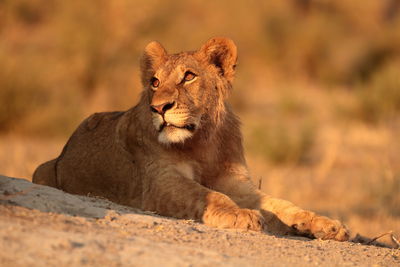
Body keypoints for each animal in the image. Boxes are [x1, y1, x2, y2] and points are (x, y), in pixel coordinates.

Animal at [32, 37, 348, 241]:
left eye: (188, 77)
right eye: (155, 82)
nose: (159, 108)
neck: (203, 141)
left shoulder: (236, 182)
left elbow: (282, 204)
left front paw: (327, 225)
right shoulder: (161, 182)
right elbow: (209, 196)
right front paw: (242, 216)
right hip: (41, 170)